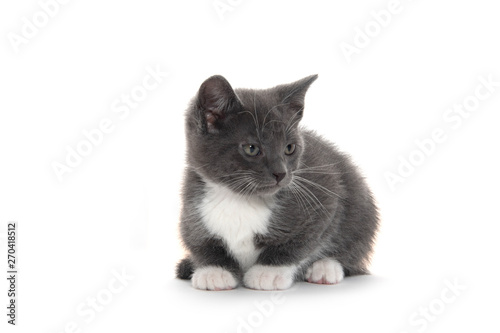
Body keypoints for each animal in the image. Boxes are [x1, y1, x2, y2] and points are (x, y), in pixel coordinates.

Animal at [176, 74, 378, 290]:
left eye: (289, 148)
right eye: (251, 148)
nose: (281, 173)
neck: (238, 198)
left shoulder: (325, 191)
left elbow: (299, 242)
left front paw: (268, 271)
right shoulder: (191, 208)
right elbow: (199, 242)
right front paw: (214, 270)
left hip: (361, 203)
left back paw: (325, 267)